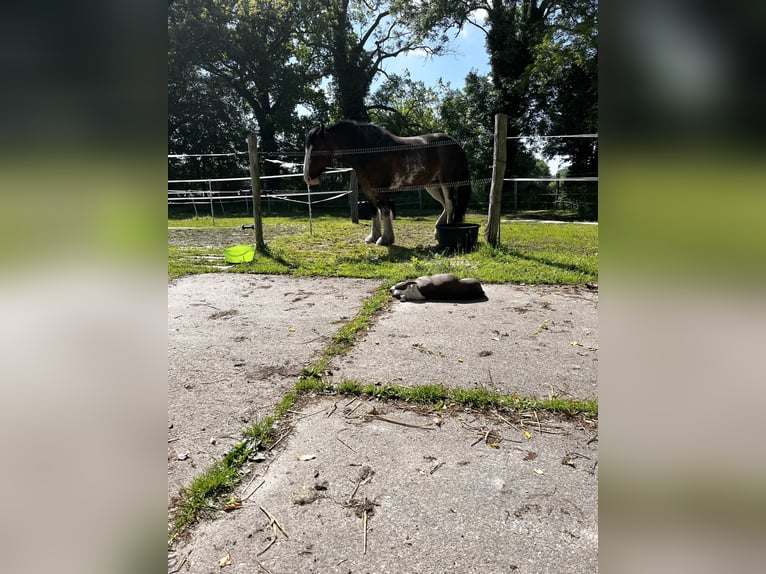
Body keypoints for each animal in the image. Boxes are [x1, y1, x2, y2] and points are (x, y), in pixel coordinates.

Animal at [303, 120, 471, 246]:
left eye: (316, 148)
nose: (308, 178)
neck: (370, 150)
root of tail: (456, 145)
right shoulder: (367, 189)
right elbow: (373, 211)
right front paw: (373, 236)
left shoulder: (382, 188)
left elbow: (384, 210)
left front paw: (385, 239)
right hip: (432, 185)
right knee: (445, 205)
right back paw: (437, 232)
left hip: (446, 181)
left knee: (450, 204)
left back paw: (447, 230)